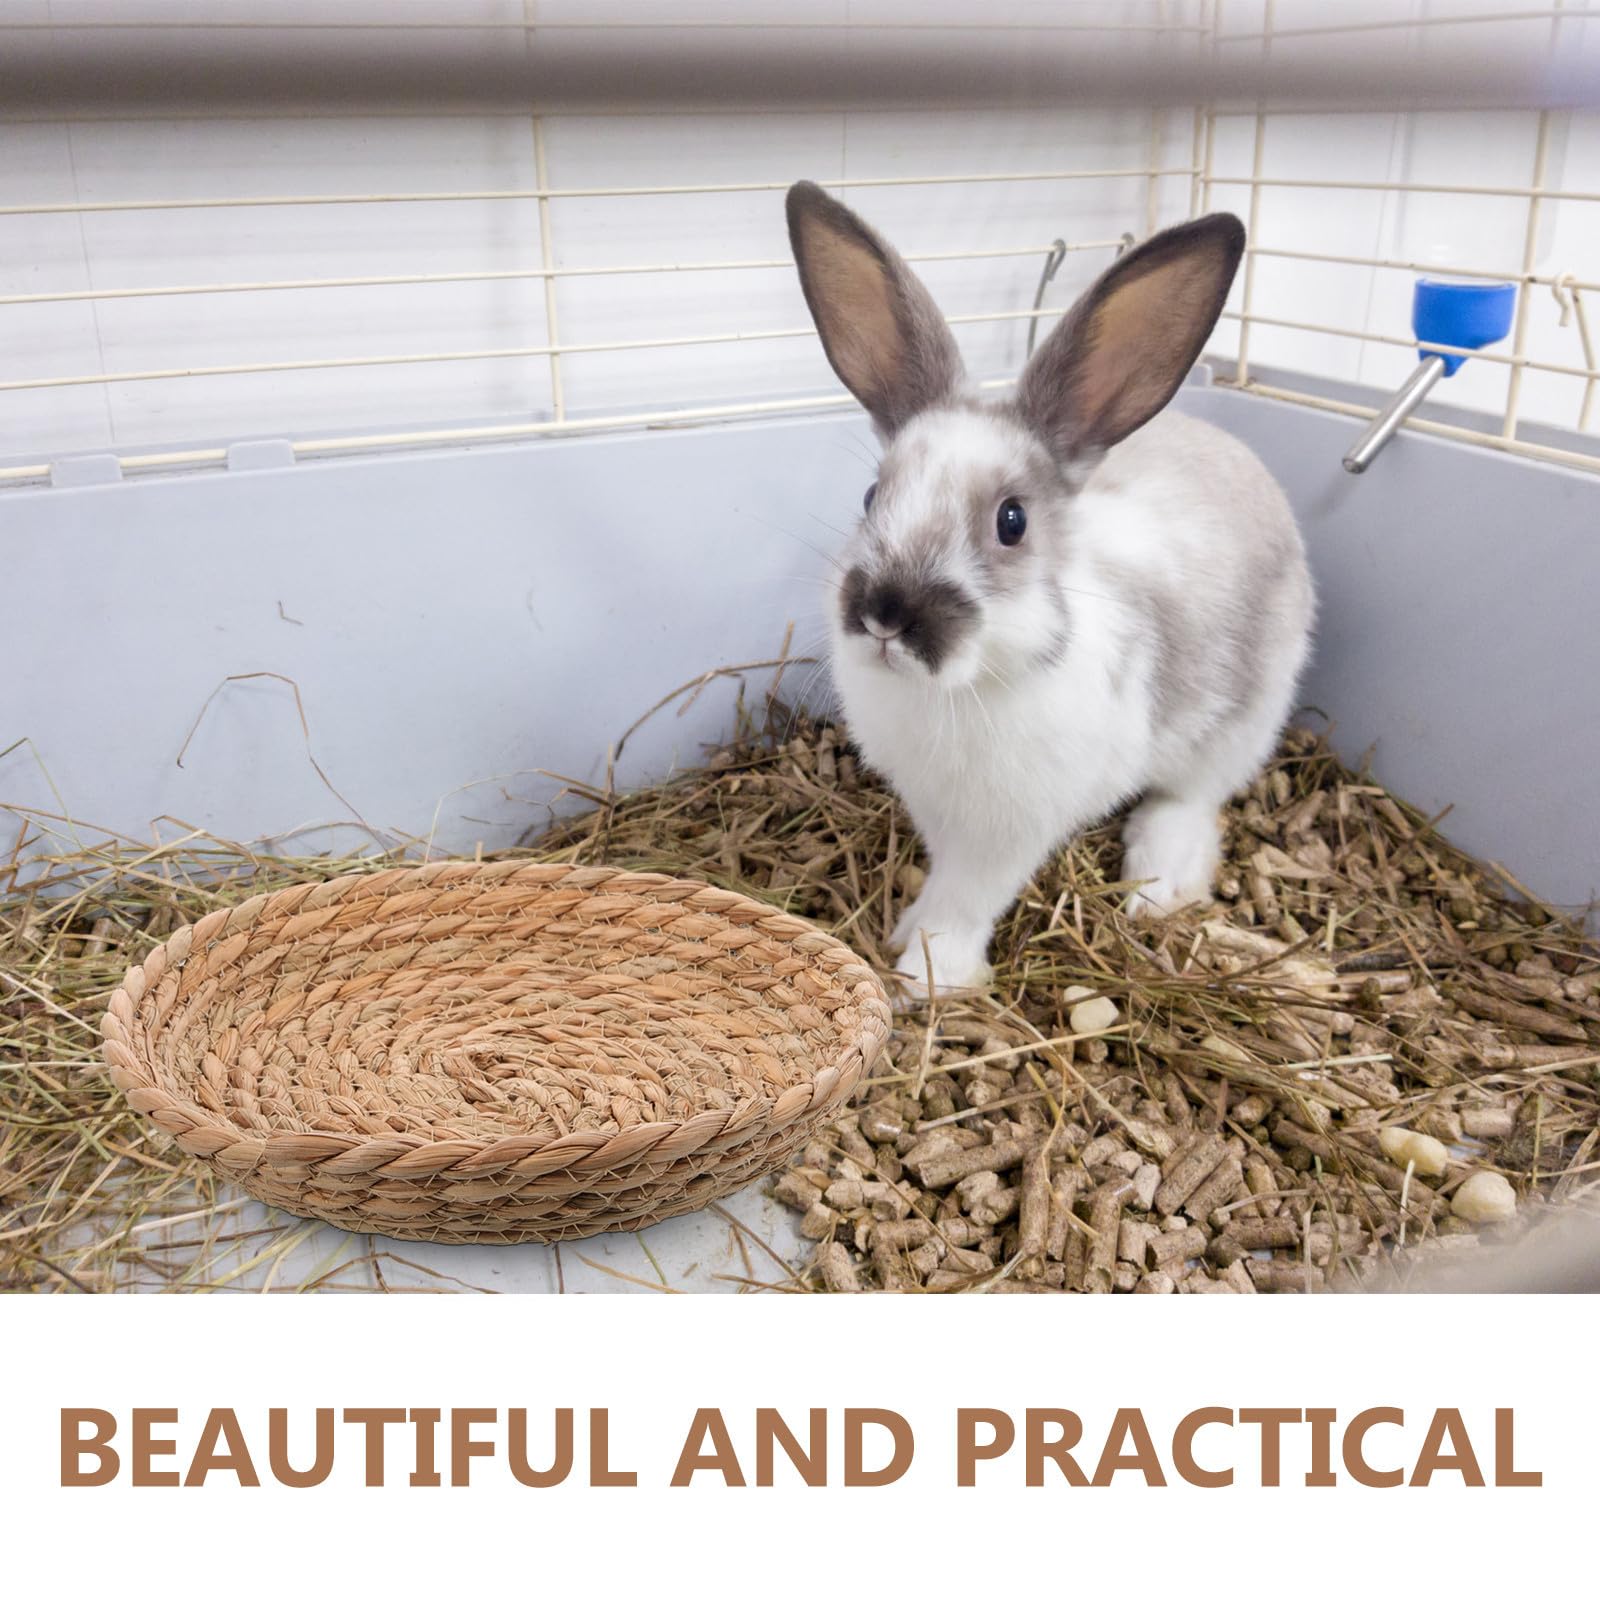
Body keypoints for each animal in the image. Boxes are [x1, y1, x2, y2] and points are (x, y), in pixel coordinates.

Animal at [785, 181, 1314, 993]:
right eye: (872, 496)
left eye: (1012, 522)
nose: (885, 614)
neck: (963, 688)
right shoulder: (938, 815)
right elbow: (941, 880)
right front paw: (907, 929)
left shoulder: (1007, 835)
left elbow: (967, 901)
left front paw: (929, 975)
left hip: (1244, 720)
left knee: (1193, 797)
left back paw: (1158, 880)